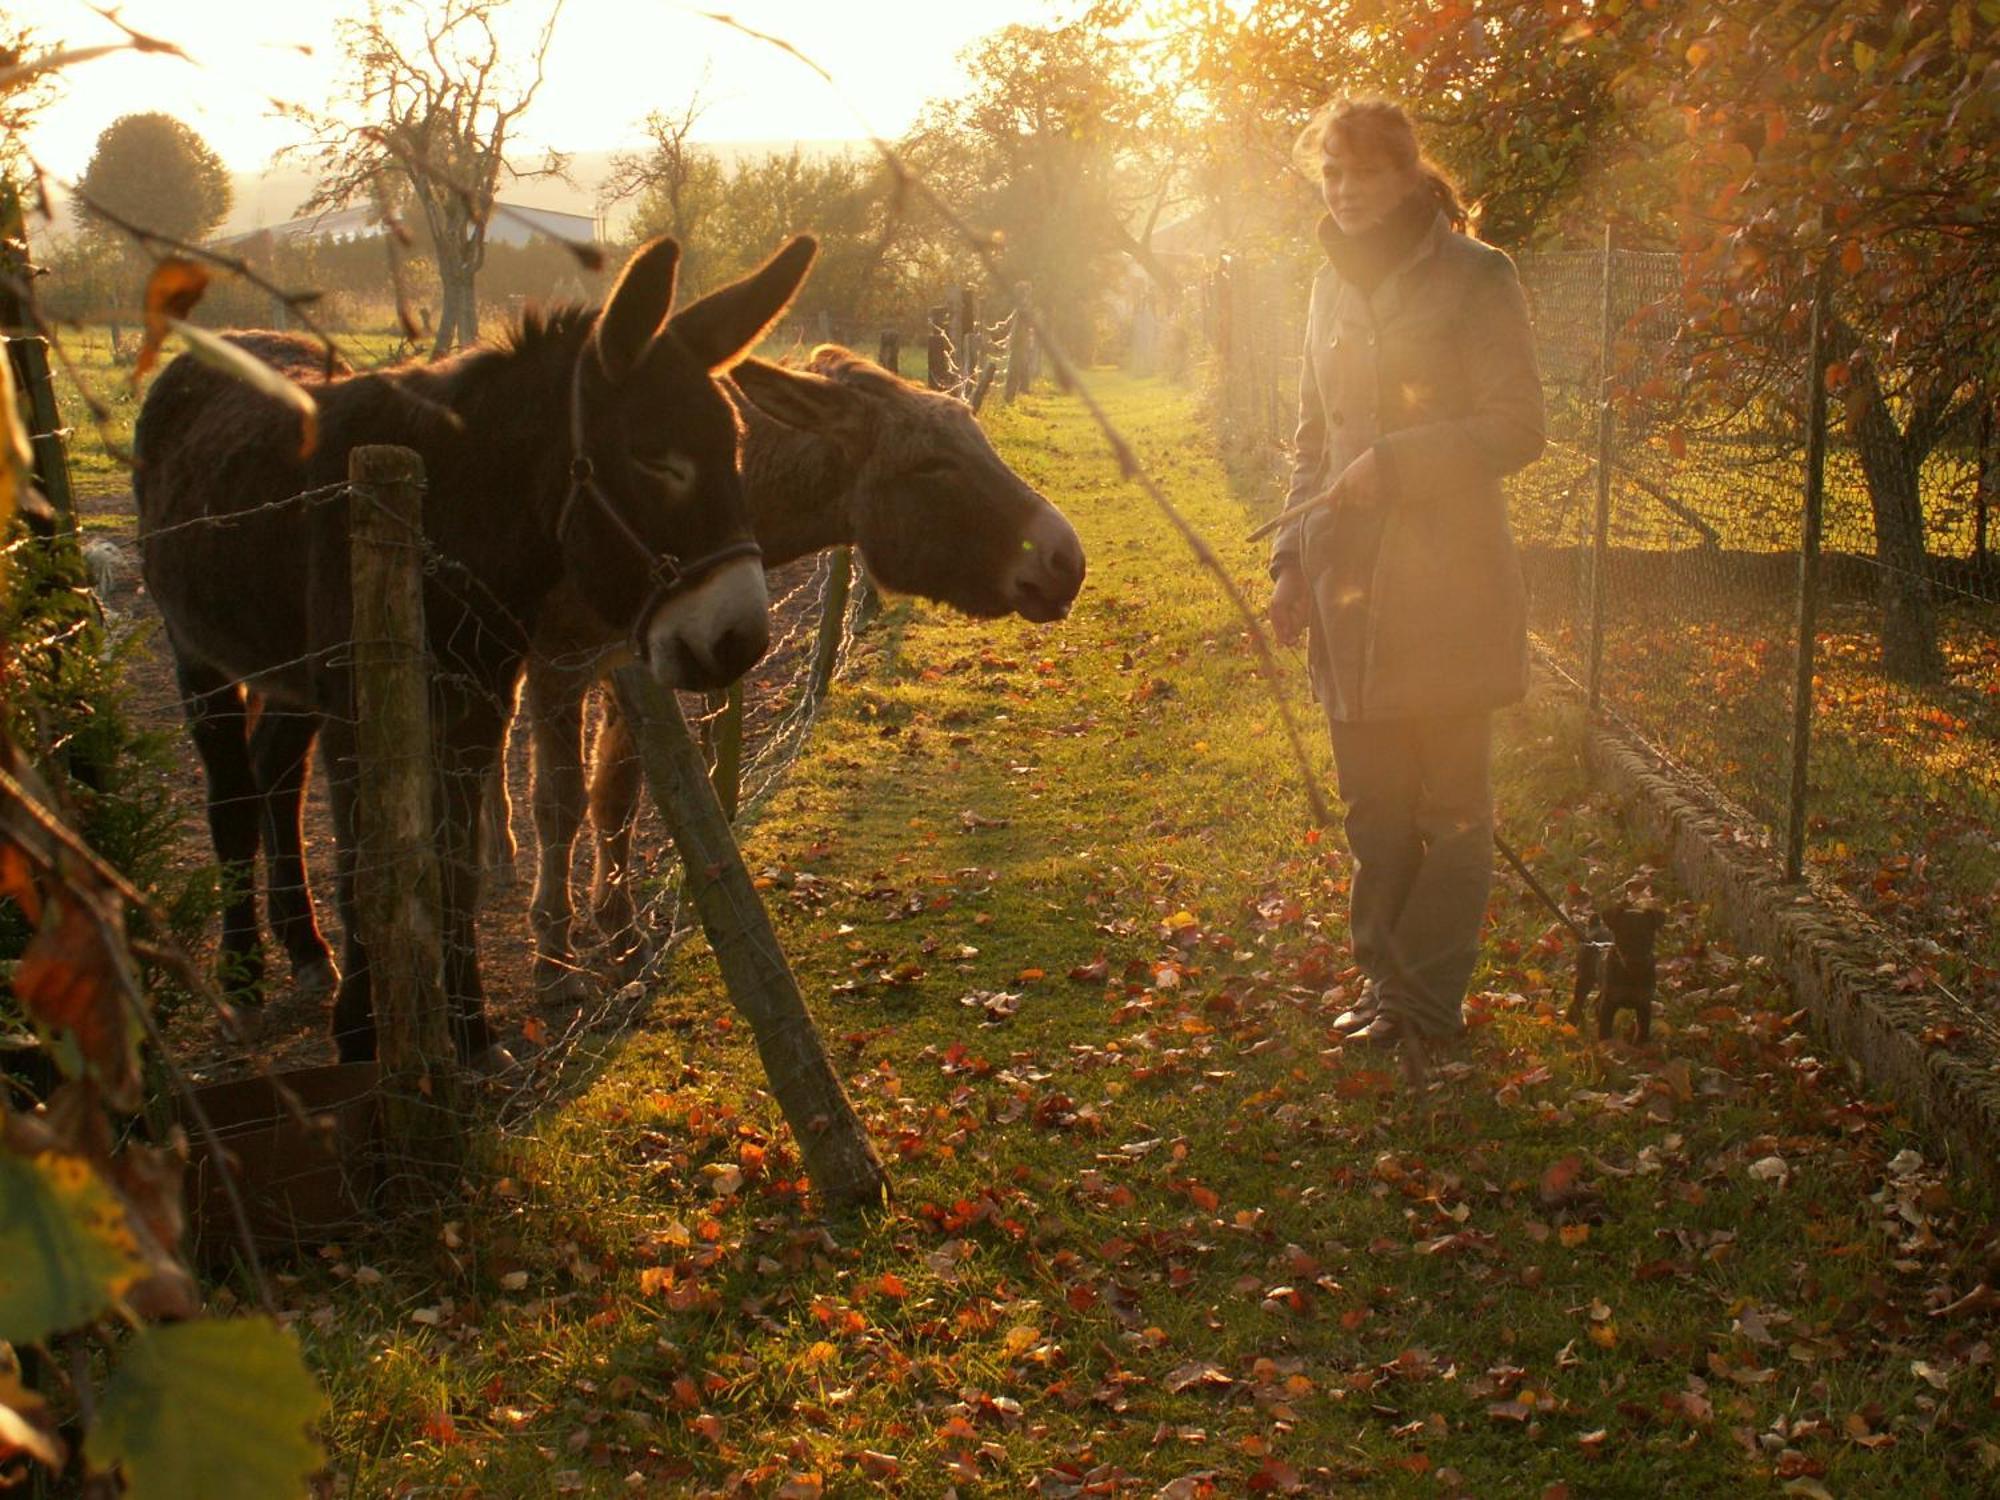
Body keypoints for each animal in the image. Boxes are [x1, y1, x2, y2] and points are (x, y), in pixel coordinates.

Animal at [1568, 904, 1664, 1048]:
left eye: (1647, 937)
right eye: (1622, 937)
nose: (1636, 962)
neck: (1631, 974)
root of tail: (1595, 926)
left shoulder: (1644, 1004)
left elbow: (1642, 1032)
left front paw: (1640, 1047)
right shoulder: (1609, 1003)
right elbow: (1605, 1031)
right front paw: (1607, 1048)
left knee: (1596, 1003)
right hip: (1584, 978)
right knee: (1577, 1003)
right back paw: (1570, 1026)